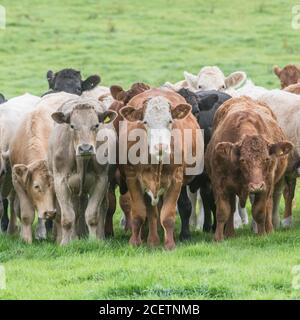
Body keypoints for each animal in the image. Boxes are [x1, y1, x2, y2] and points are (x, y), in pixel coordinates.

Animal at [205, 96, 292, 241]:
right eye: (243, 160)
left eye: (266, 159)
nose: (256, 186)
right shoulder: (219, 184)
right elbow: (223, 211)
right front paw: (218, 238)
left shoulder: (266, 185)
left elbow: (259, 211)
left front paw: (262, 234)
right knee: (232, 209)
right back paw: (230, 233)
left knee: (269, 205)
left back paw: (269, 229)